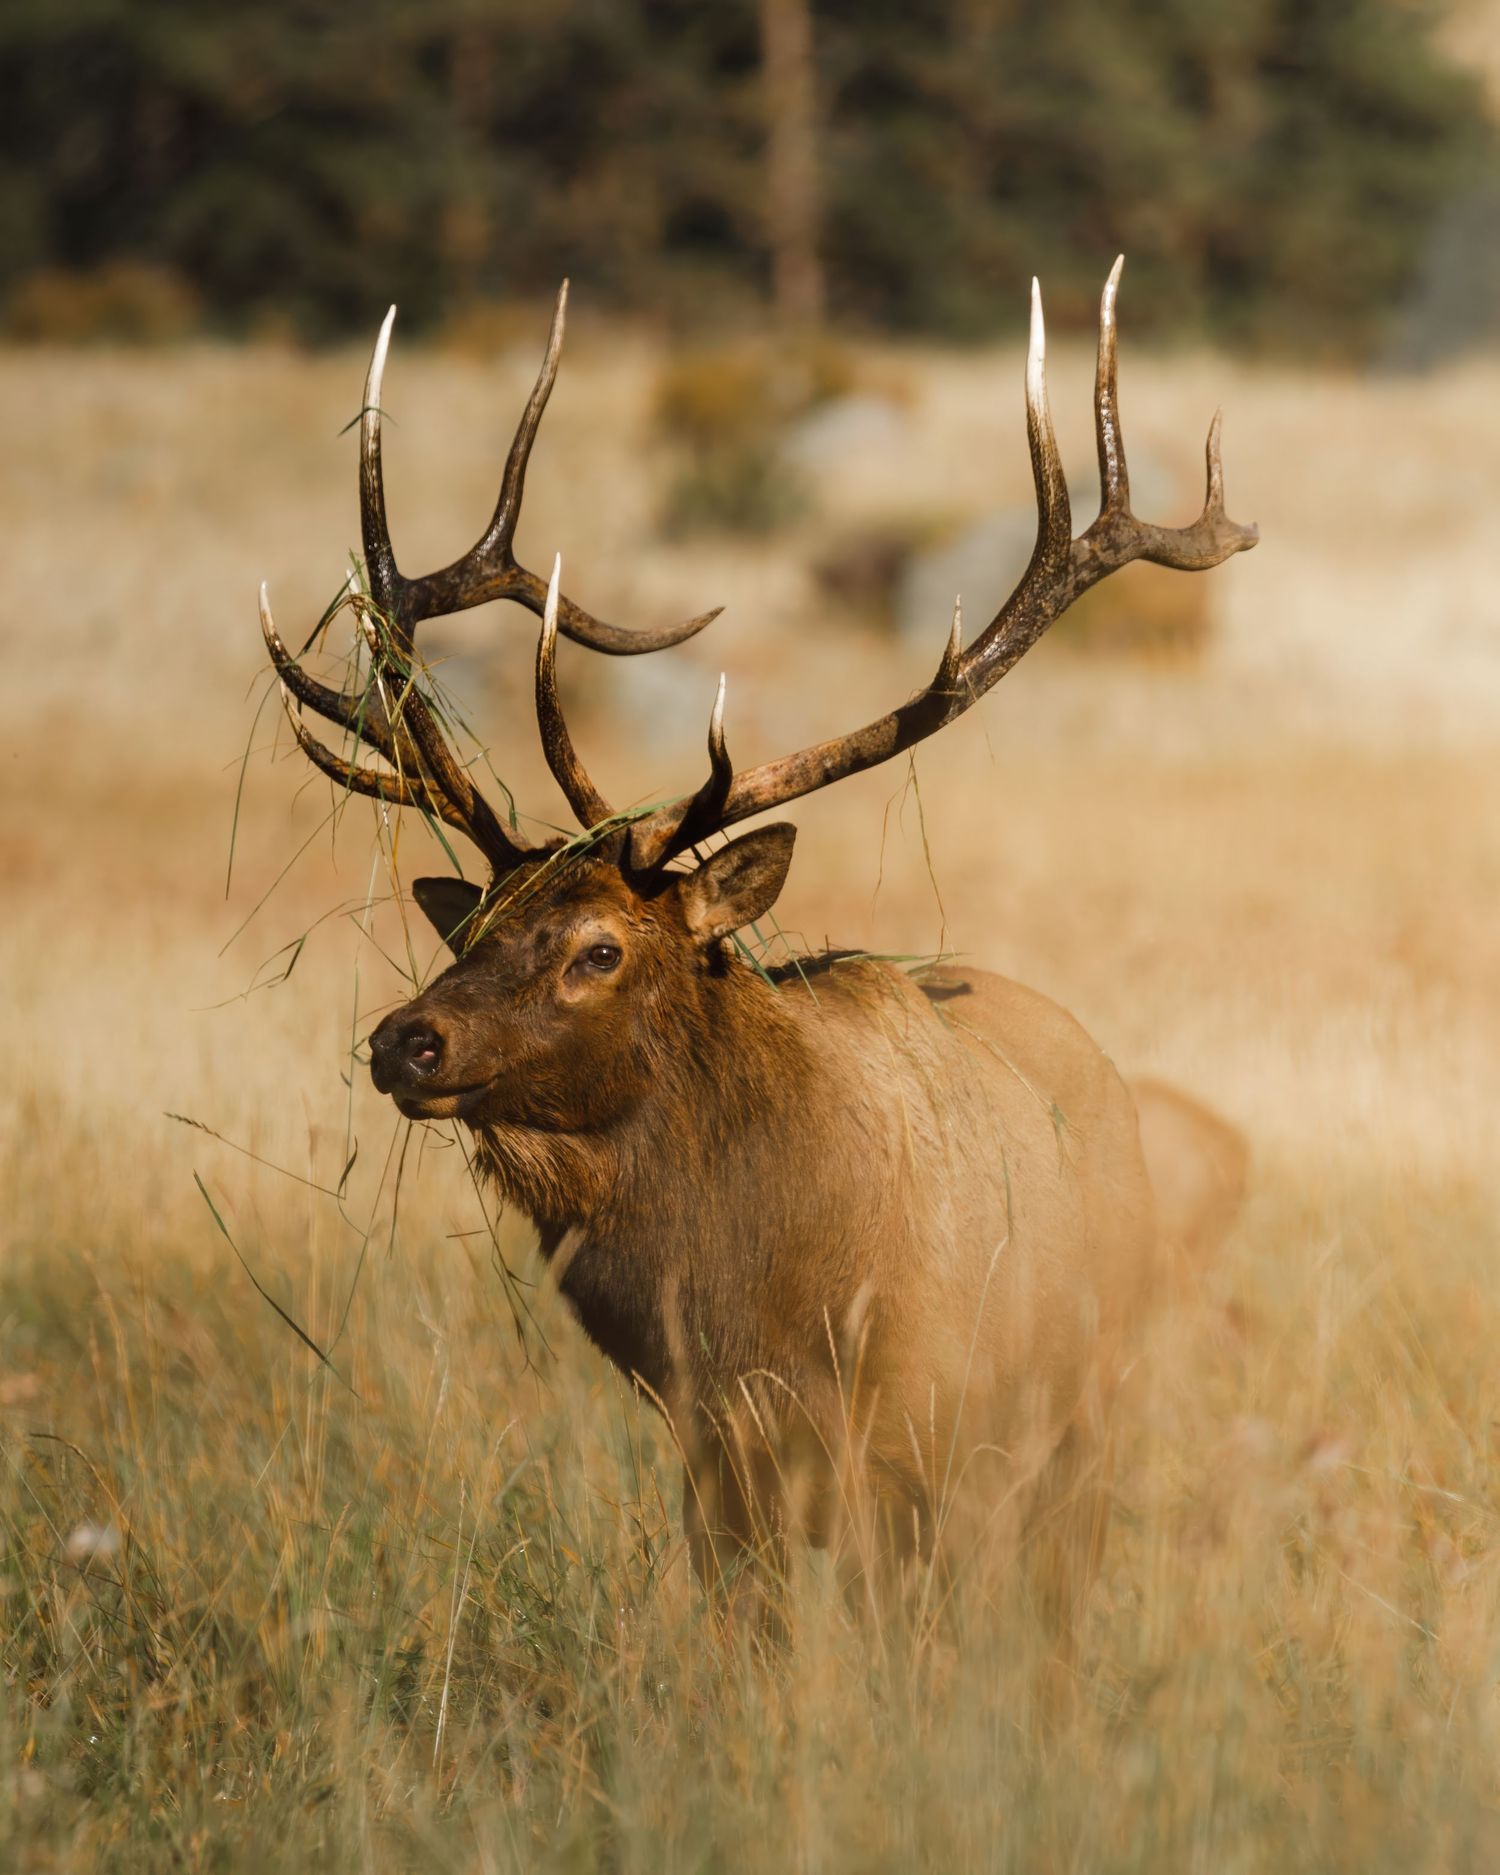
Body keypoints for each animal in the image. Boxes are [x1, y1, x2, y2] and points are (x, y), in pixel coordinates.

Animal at [258, 260, 1254, 1630]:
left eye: (601, 949)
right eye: (486, 924)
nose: (407, 1041)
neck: (764, 1307)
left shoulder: (922, 1445)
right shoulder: (716, 1466)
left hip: (1081, 1407)